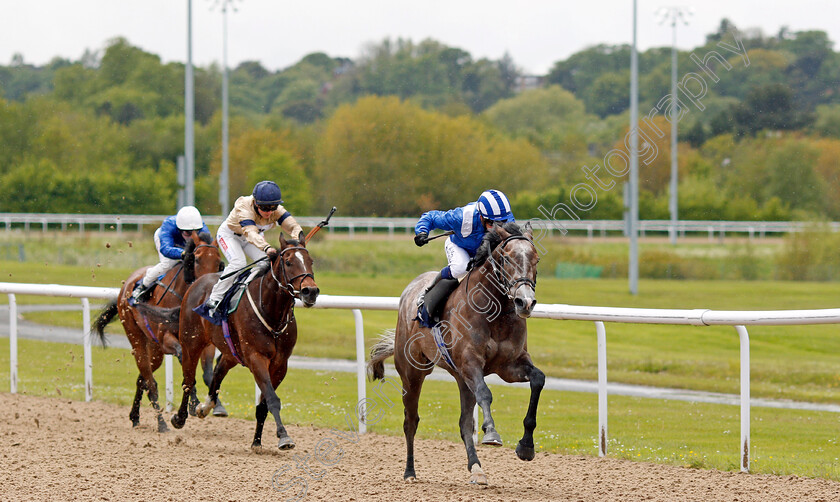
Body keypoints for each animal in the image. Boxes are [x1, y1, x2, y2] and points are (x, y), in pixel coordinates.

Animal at [92, 231, 223, 432]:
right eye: (197, 259)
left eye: (218, 261)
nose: (208, 284)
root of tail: (127, 284)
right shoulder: (166, 338)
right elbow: (183, 360)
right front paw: (193, 402)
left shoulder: (204, 342)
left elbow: (207, 371)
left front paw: (216, 406)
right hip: (136, 337)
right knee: (150, 382)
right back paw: (161, 423)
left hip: (155, 349)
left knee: (142, 379)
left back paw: (135, 417)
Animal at [169, 233, 320, 450]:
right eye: (289, 262)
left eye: (310, 261)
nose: (311, 291)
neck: (273, 313)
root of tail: (199, 281)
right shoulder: (256, 357)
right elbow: (272, 399)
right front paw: (284, 437)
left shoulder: (280, 364)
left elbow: (264, 404)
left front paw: (257, 441)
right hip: (191, 343)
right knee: (188, 381)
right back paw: (180, 418)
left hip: (230, 352)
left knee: (217, 373)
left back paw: (206, 407)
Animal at [370, 223, 544, 486]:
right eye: (506, 258)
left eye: (536, 258)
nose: (525, 302)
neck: (495, 312)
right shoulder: (470, 362)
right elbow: (485, 393)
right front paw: (491, 433)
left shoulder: (510, 365)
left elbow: (538, 380)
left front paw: (526, 447)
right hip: (412, 373)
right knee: (410, 421)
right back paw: (410, 472)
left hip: (461, 378)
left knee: (464, 423)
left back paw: (477, 468)